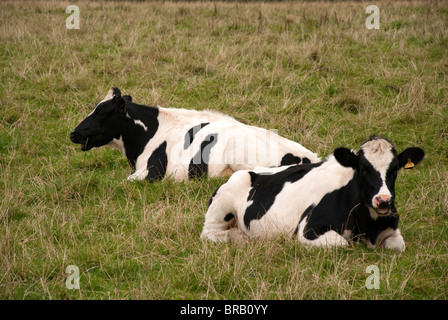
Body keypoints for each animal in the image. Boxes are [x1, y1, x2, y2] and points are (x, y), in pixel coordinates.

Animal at [201, 136, 426, 251]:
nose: (383, 201)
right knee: (211, 234)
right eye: (363, 168)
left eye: (395, 169)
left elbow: (398, 245)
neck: (367, 225)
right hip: (226, 197)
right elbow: (342, 244)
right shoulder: (308, 230)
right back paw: (238, 237)